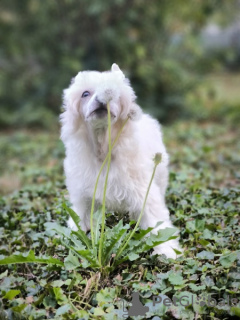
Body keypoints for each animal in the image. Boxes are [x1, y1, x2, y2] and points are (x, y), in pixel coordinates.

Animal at [60, 63, 180, 258]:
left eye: (114, 95)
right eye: (85, 94)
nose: (102, 101)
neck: (104, 151)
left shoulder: (143, 191)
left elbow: (156, 221)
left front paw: (167, 250)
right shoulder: (83, 196)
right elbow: (81, 217)